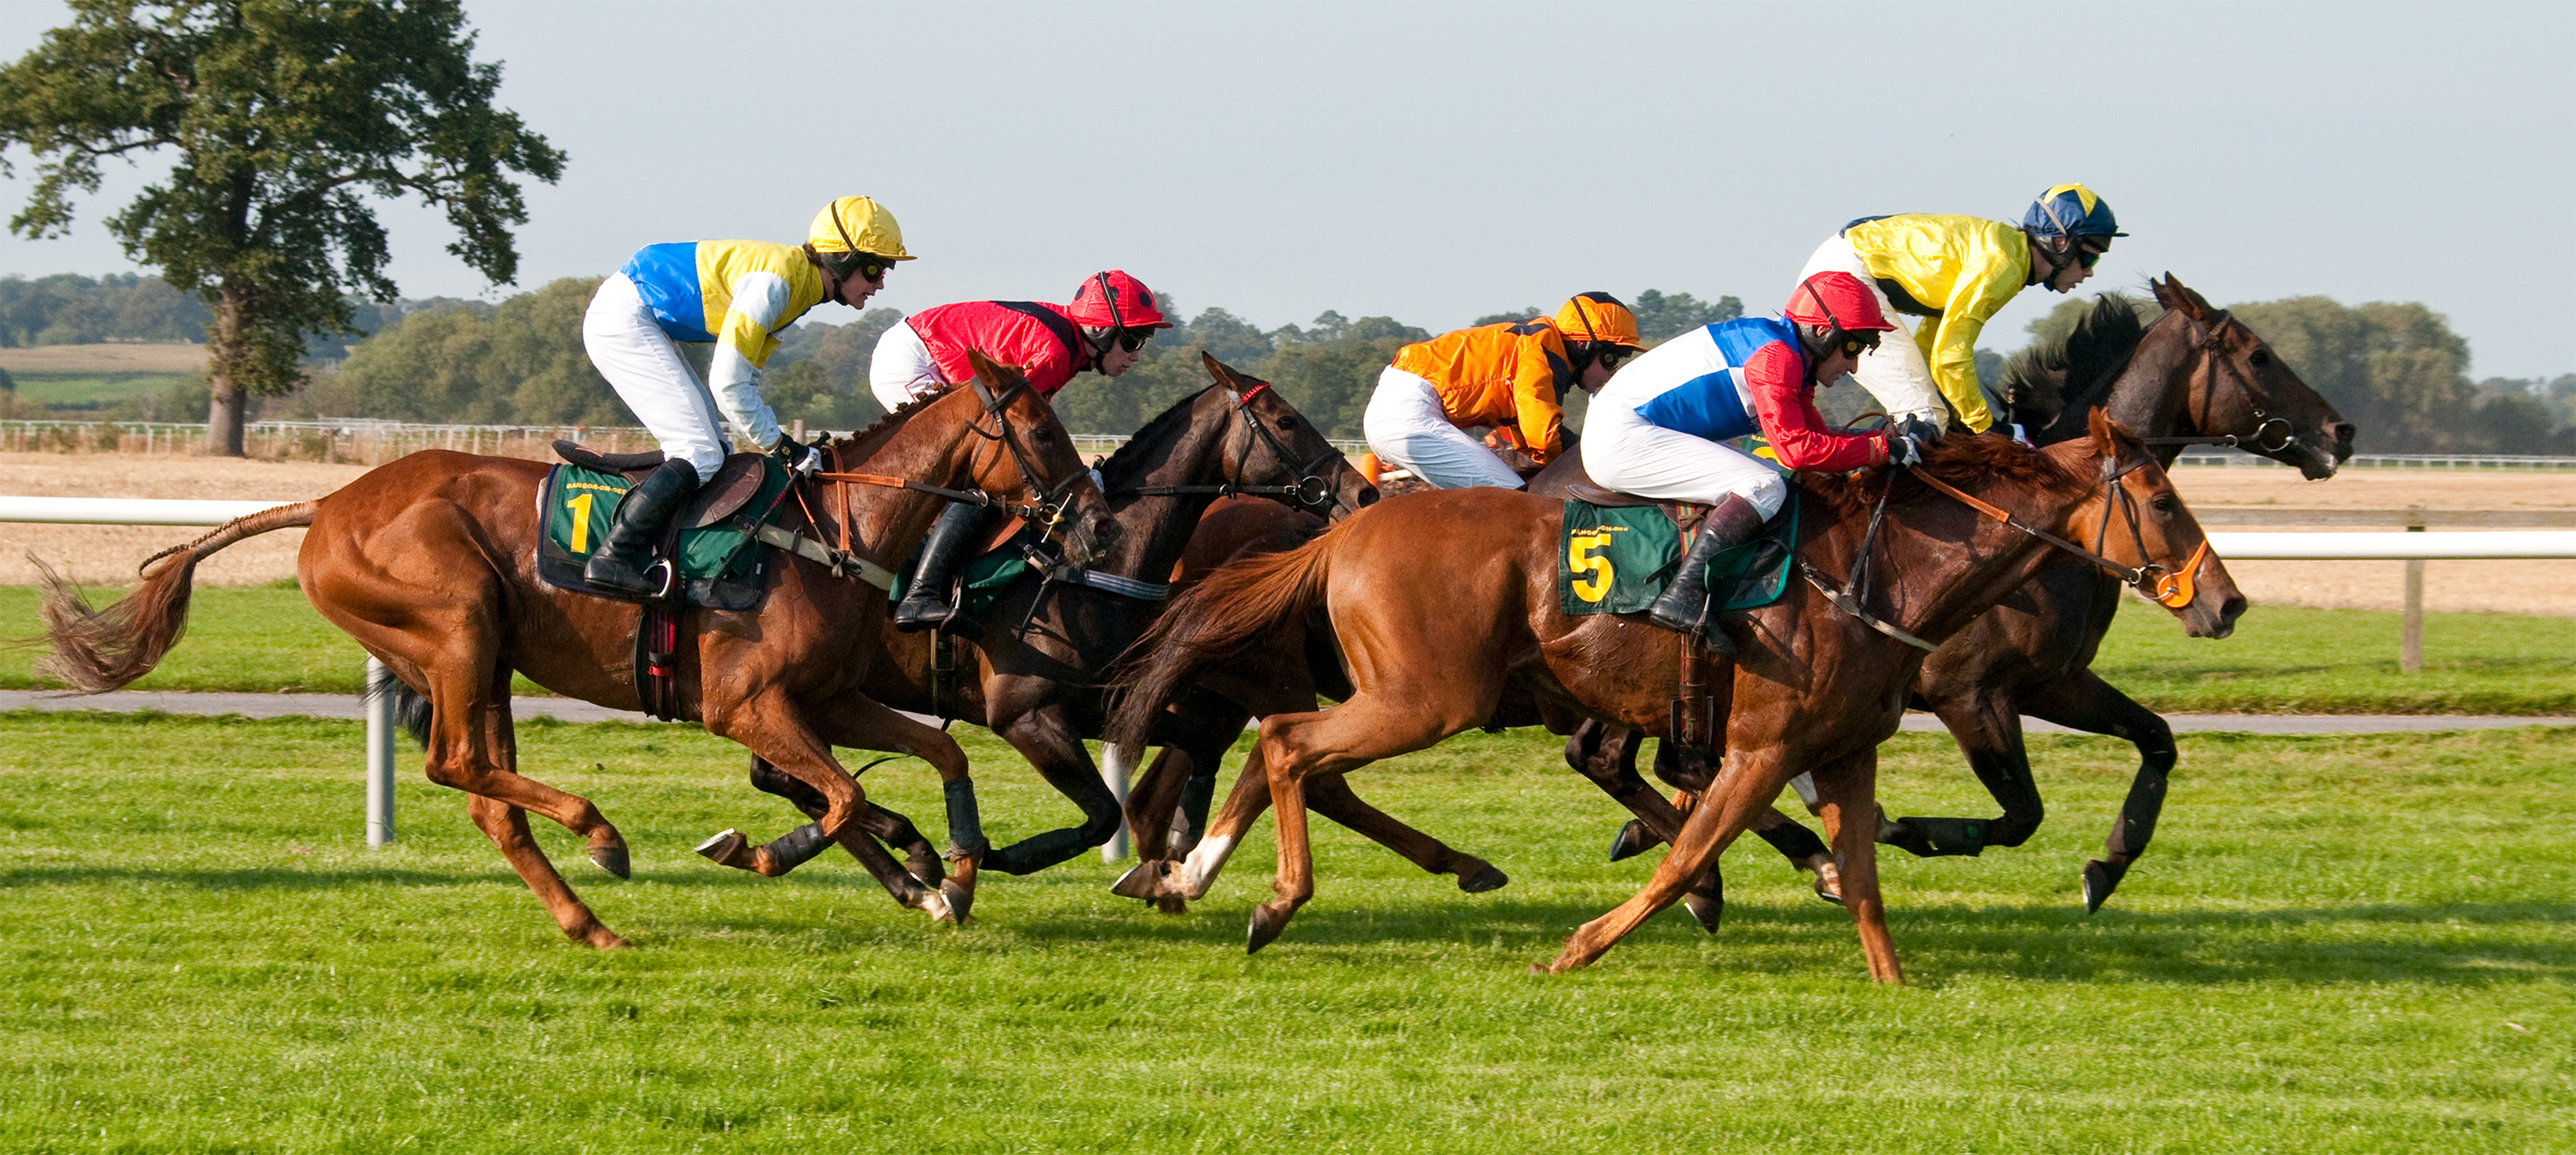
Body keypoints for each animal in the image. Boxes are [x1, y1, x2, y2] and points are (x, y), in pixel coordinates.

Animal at [32, 358, 1117, 948]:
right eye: (1040, 432)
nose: (1098, 527)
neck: (824, 533)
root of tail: (330, 501)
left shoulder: (827, 698)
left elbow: (941, 751)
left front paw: (952, 875)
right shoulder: (746, 705)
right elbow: (844, 796)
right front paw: (762, 849)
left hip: (487, 657)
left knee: (486, 793)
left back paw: (586, 916)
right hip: (459, 622)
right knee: (457, 763)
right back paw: (602, 835)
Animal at [1117, 410, 2245, 979]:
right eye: (2158, 497)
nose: (2227, 599)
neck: (1879, 572)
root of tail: (1348, 524)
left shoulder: (1846, 747)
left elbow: (1864, 878)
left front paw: (1894, 979)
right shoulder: (1768, 746)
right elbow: (1689, 855)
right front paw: (1582, 945)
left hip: (1411, 692)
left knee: (1282, 747)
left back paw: (1186, 873)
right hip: (1424, 695)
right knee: (1291, 742)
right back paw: (1263, 896)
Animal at [1545, 273, 2359, 912]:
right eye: (2258, 354)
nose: (2340, 432)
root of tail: (1551, 472)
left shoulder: (2051, 680)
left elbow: (2155, 740)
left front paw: (2106, 865)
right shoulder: (1970, 691)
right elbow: (2021, 812)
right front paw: (1900, 830)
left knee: (1615, 759)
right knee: (1615, 758)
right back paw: (1755, 864)